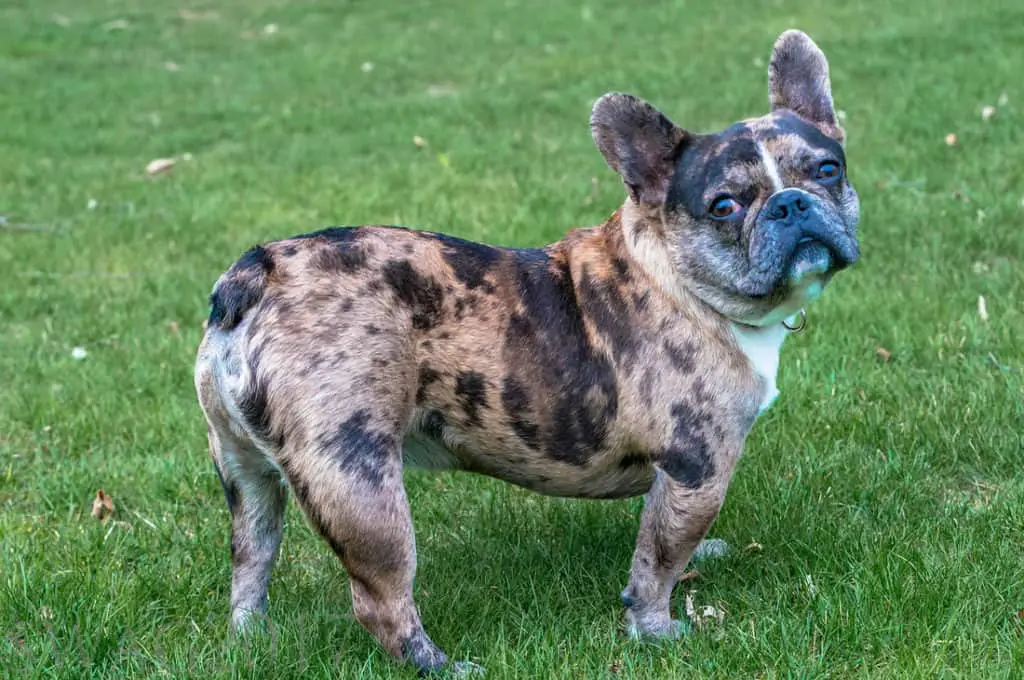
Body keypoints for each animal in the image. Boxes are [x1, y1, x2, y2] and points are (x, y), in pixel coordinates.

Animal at [195, 27, 860, 675]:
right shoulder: (699, 465)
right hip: (359, 480)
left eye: (828, 170)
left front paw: (703, 555)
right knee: (381, 599)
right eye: (725, 205)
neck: (674, 274)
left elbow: (659, 531)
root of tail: (258, 272)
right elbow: (660, 559)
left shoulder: (677, 478)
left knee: (251, 559)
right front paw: (655, 629)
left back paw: (252, 637)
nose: (791, 203)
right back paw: (440, 664)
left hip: (245, 475)